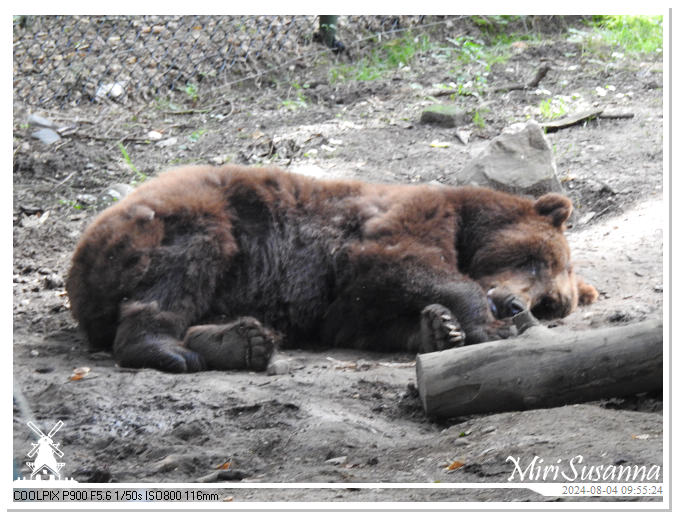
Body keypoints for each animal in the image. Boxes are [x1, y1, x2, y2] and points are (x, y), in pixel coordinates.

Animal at [66, 165, 596, 372]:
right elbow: (397, 261)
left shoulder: (339, 306)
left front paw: (438, 329)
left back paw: (240, 342)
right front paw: (482, 325)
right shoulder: (404, 220)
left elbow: (365, 321)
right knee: (186, 265)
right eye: (534, 259)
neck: (465, 230)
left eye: (551, 304)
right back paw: (164, 348)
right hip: (184, 219)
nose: (515, 304)